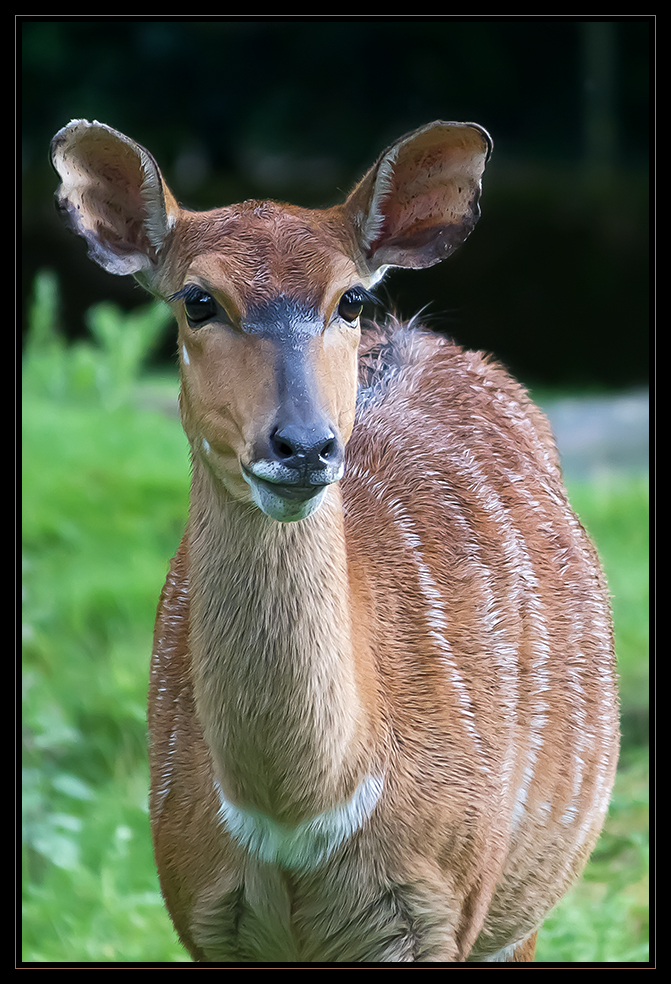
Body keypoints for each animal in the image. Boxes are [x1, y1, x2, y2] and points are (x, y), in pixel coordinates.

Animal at [51, 117, 620, 960]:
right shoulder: (200, 913)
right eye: (196, 300)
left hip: (516, 911)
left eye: (349, 298)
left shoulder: (435, 910)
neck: (299, 811)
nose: (303, 446)